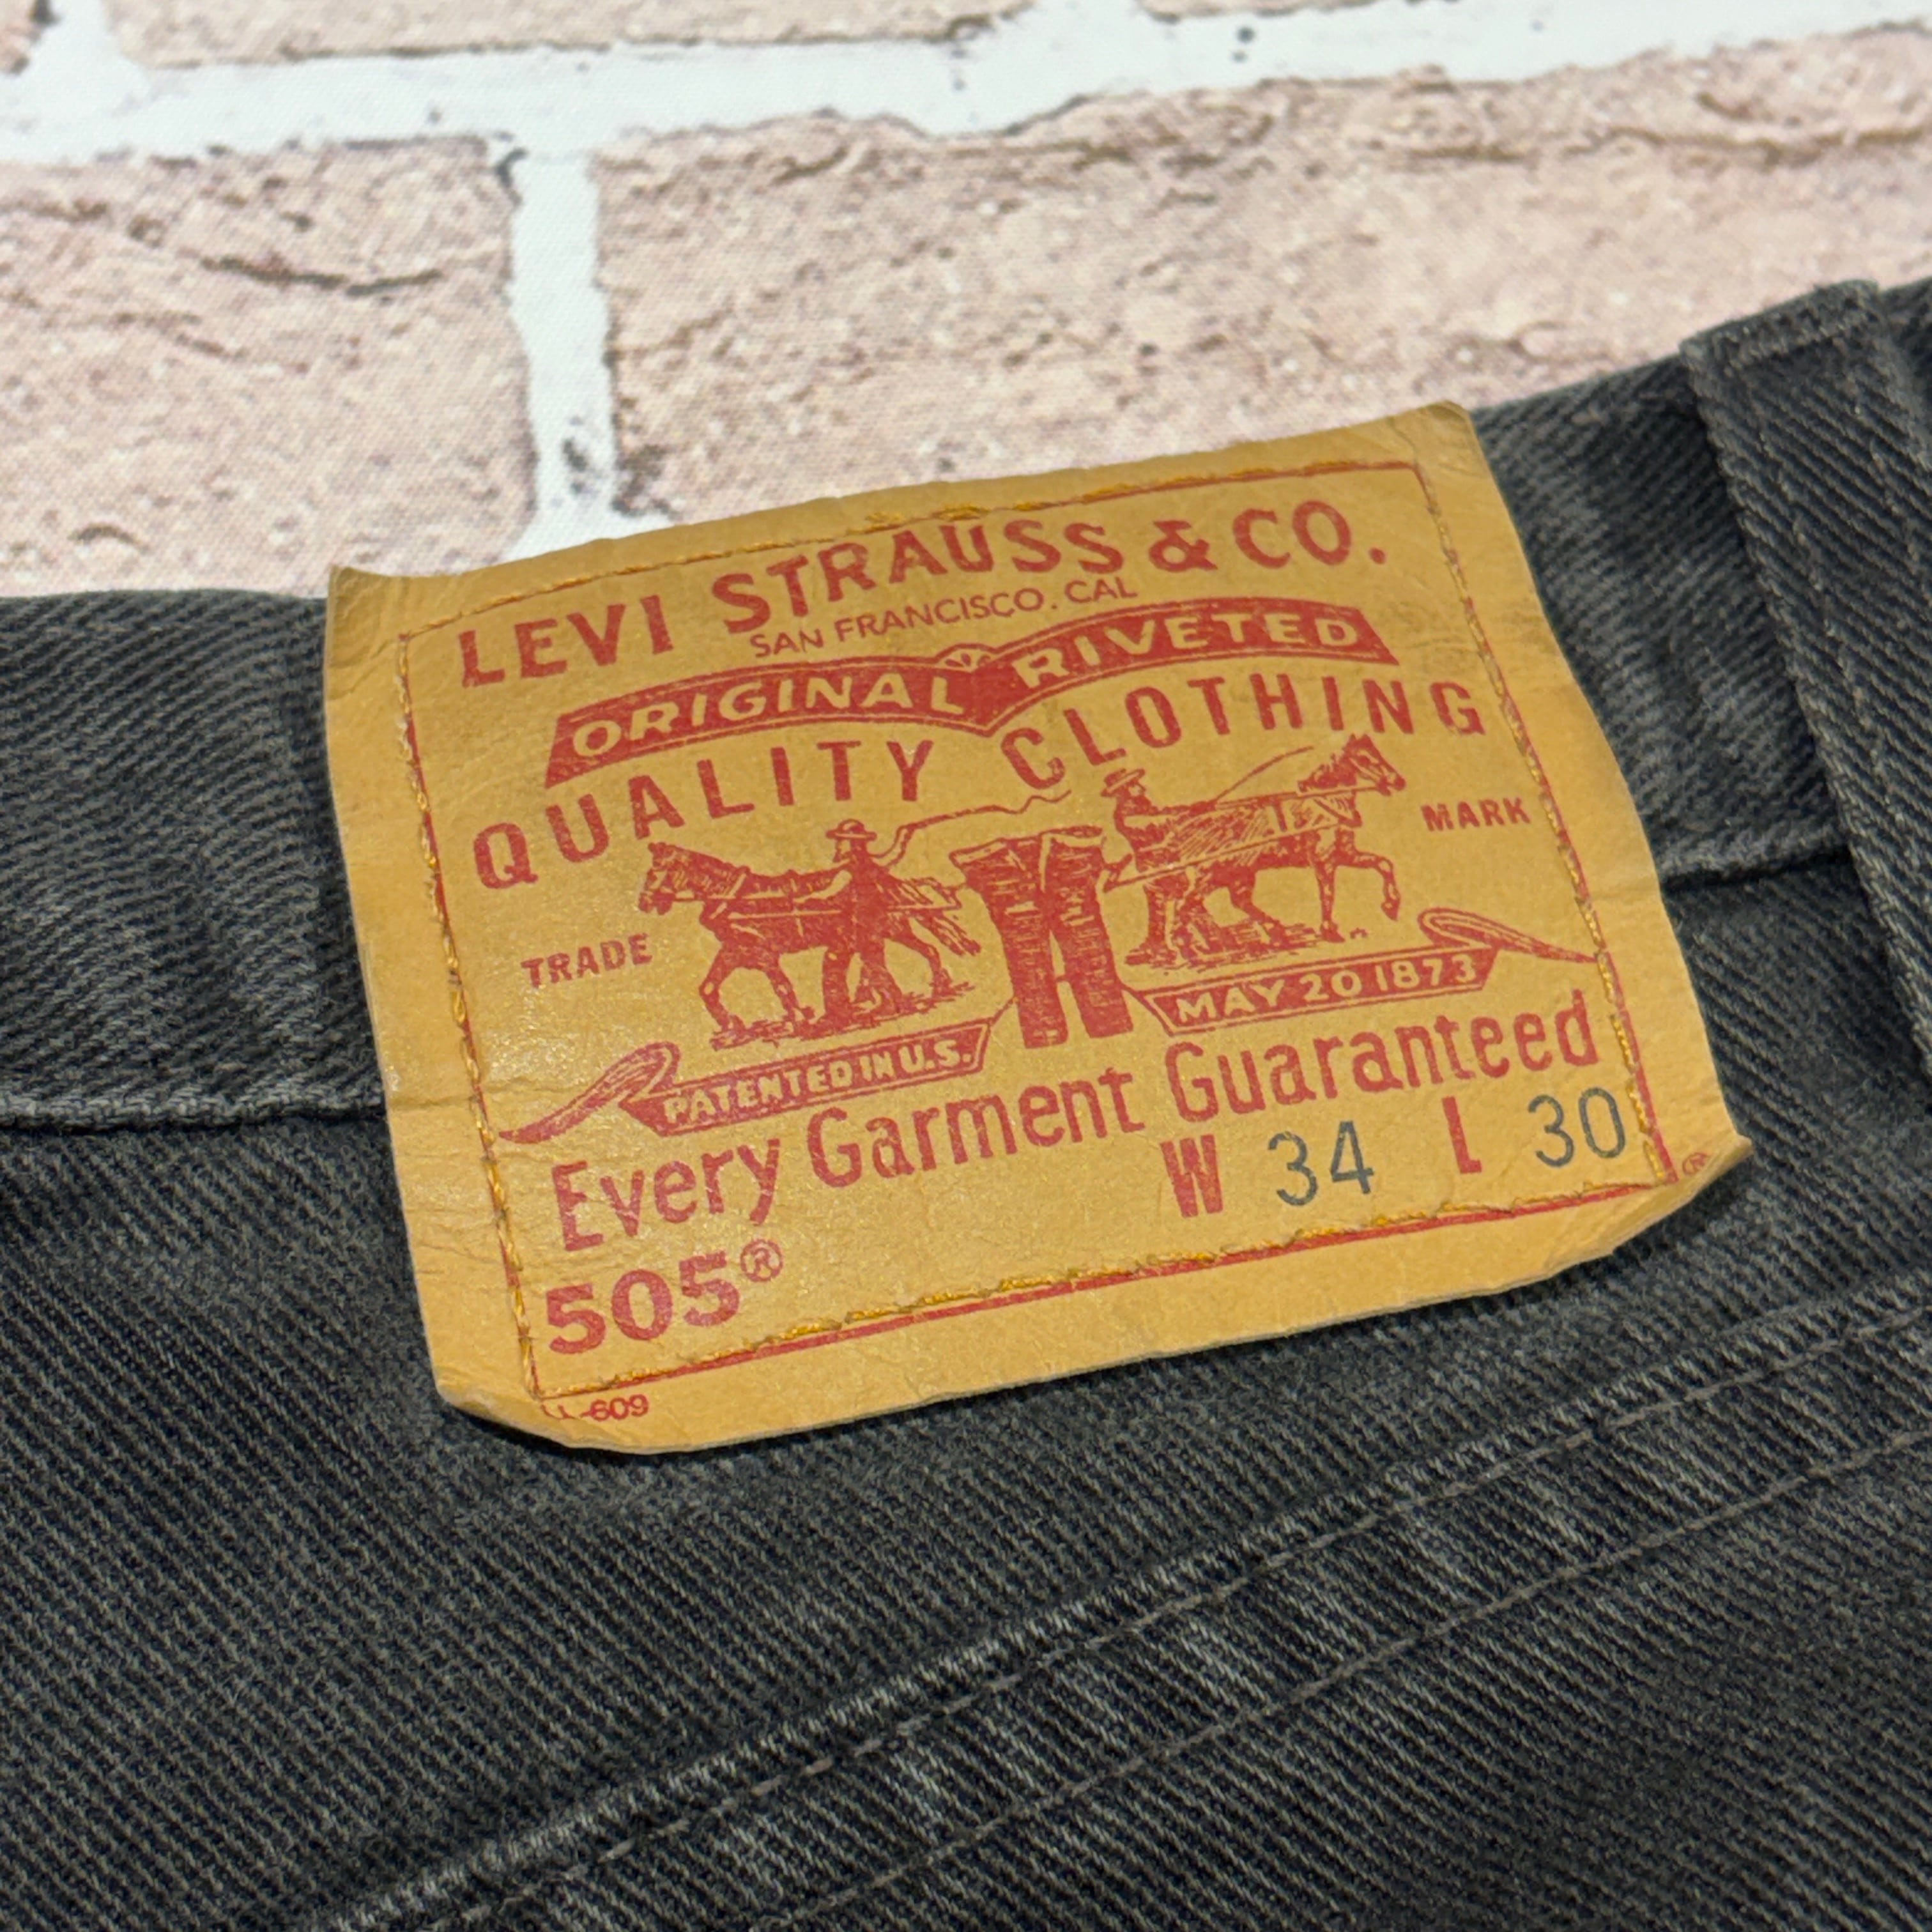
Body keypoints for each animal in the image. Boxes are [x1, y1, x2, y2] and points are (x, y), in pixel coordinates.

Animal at [638, 843, 977, 1046]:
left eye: (655, 872)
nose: (643, 903)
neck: (737, 899)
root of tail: (887, 879)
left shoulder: (765, 954)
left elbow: (783, 988)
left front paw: (801, 1021)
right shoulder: (735, 952)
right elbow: (708, 989)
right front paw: (733, 1026)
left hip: (890, 928)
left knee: (919, 953)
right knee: (907, 956)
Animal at [1107, 734, 1406, 963]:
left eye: (1377, 753)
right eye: (1365, 759)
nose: (1398, 781)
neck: (1323, 802)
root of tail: (1184, 829)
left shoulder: (1345, 854)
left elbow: (1384, 864)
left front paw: (1391, 905)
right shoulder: (1324, 860)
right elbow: (1328, 893)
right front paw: (1330, 930)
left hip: (1240, 873)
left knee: (1233, 902)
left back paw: (1273, 933)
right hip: (1212, 875)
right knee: (1186, 905)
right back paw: (1188, 948)